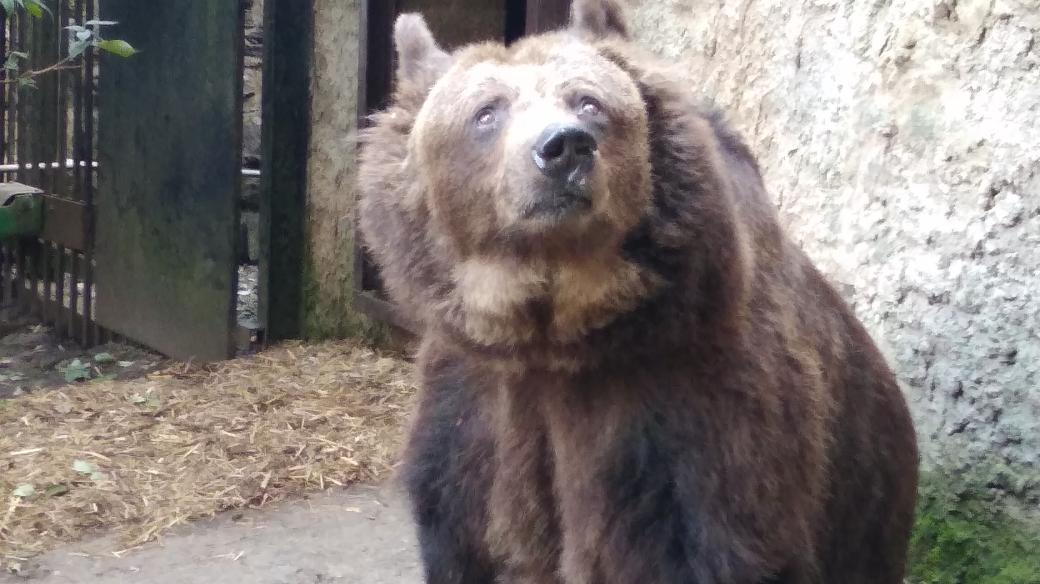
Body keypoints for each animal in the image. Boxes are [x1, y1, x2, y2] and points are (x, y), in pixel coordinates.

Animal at [357, 2, 919, 577]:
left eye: (589, 101)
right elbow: (466, 530)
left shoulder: (690, 408)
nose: (564, 146)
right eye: (486, 112)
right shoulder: (473, 409)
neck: (556, 332)